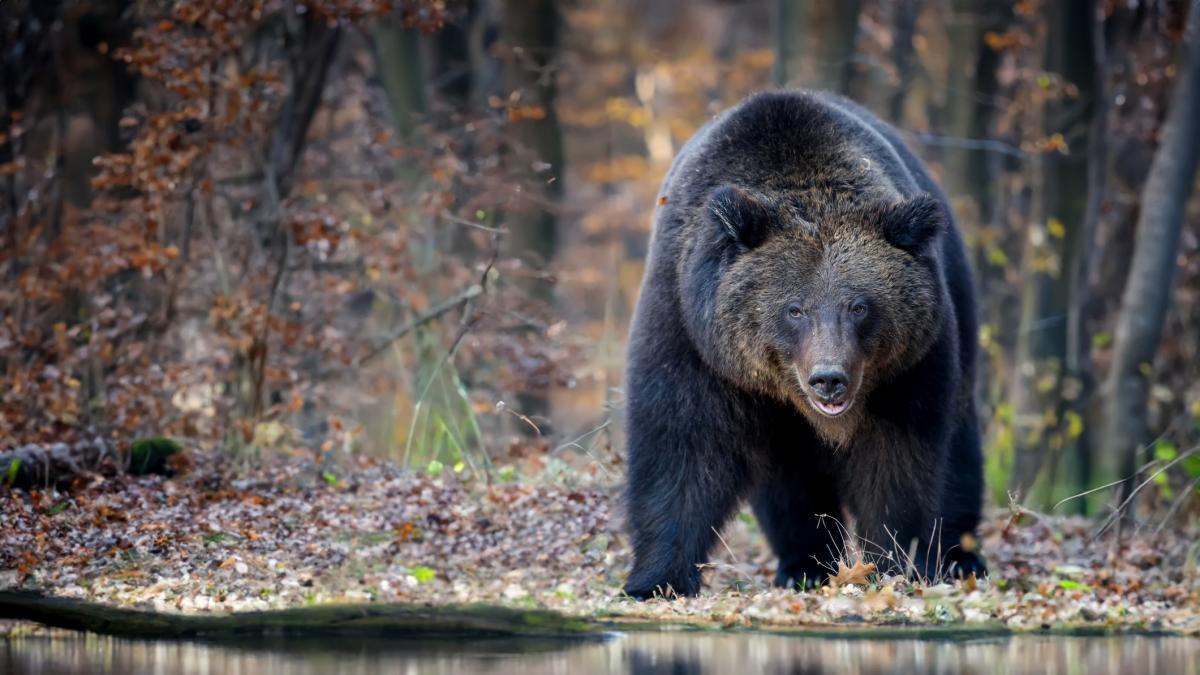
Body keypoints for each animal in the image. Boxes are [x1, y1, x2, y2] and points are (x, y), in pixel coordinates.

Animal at [624, 86, 979, 595]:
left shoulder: (908, 369)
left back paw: (961, 556)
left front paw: (896, 564)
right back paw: (804, 565)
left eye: (859, 306)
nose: (828, 378)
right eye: (795, 309)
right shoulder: (691, 330)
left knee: (961, 446)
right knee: (787, 484)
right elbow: (681, 444)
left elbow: (898, 461)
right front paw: (656, 579)